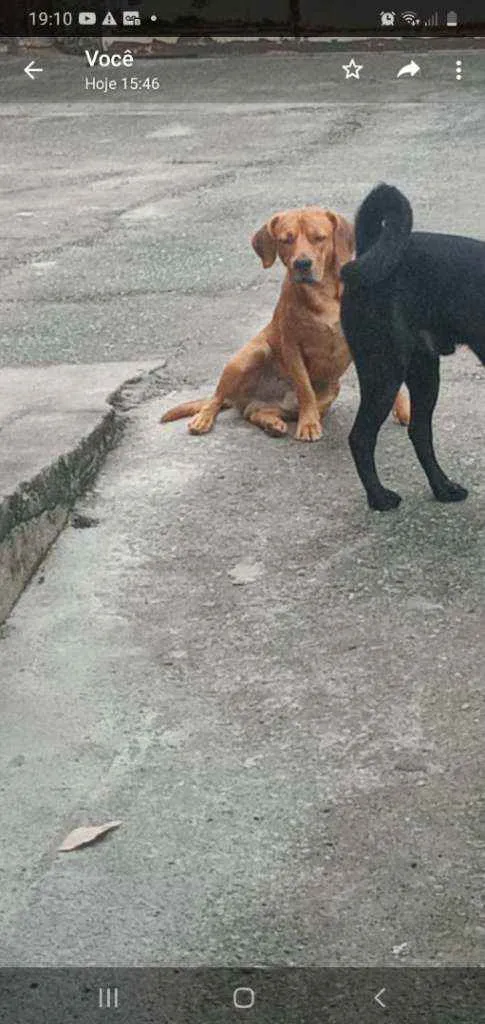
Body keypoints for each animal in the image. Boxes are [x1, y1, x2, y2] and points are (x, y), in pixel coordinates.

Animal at [159, 207, 409, 440]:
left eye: (319, 237)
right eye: (285, 240)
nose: (302, 263)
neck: (323, 293)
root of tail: (242, 399)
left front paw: (403, 409)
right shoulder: (292, 346)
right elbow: (305, 389)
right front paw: (309, 425)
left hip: (328, 391)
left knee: (256, 412)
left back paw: (272, 423)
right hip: (248, 356)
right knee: (216, 398)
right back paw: (204, 419)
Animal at [341, 182, 484, 509]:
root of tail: (370, 248)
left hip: (424, 372)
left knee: (419, 432)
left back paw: (443, 488)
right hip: (384, 373)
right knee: (361, 437)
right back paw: (379, 497)